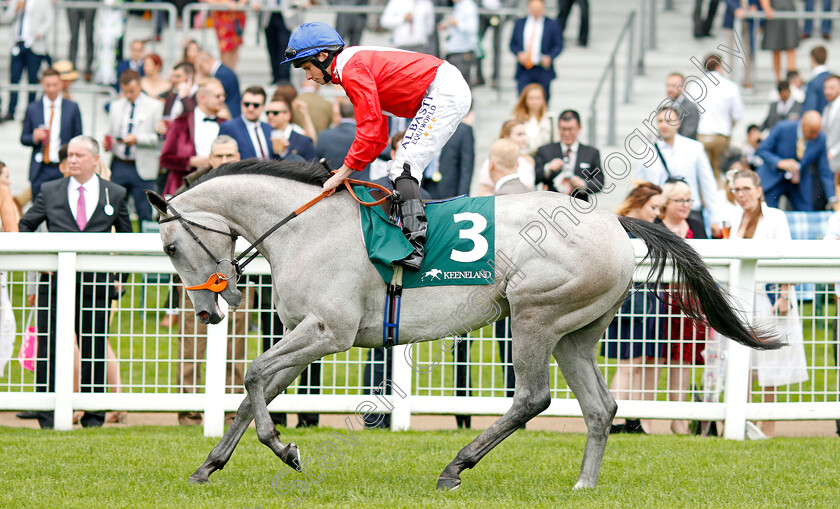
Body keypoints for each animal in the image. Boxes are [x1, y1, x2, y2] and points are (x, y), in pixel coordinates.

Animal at [146, 161, 780, 490]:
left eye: (171, 246)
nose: (207, 313)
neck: (304, 228)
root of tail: (613, 222)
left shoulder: (329, 332)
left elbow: (253, 375)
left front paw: (285, 450)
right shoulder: (309, 333)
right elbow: (253, 392)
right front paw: (209, 465)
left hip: (534, 314)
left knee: (532, 398)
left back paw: (456, 466)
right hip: (576, 333)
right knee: (601, 408)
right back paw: (584, 485)